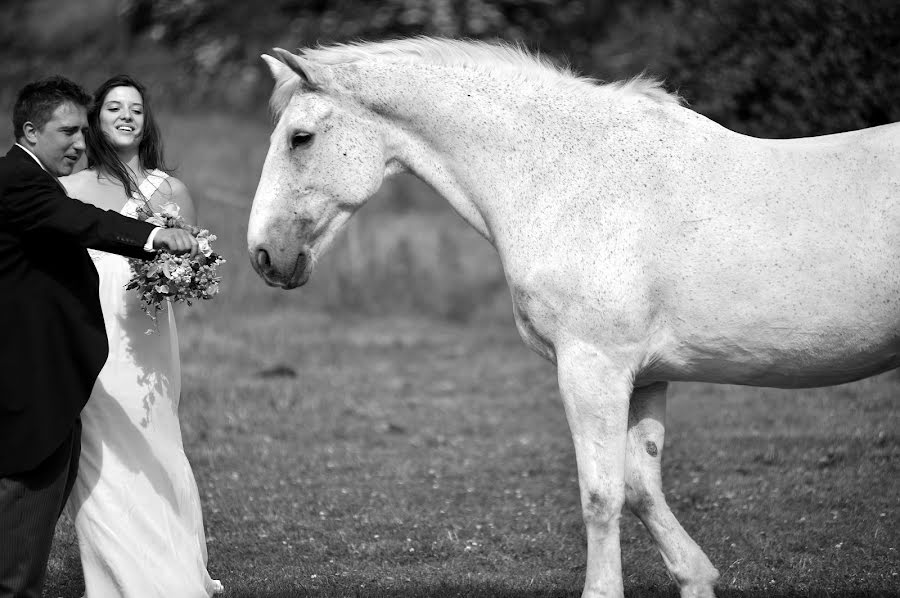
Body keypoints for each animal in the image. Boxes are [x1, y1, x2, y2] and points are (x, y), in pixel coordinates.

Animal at [246, 38, 900, 598]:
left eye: (300, 138)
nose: (264, 256)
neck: (572, 174)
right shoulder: (646, 376)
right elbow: (640, 487)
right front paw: (695, 576)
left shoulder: (592, 368)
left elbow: (601, 494)